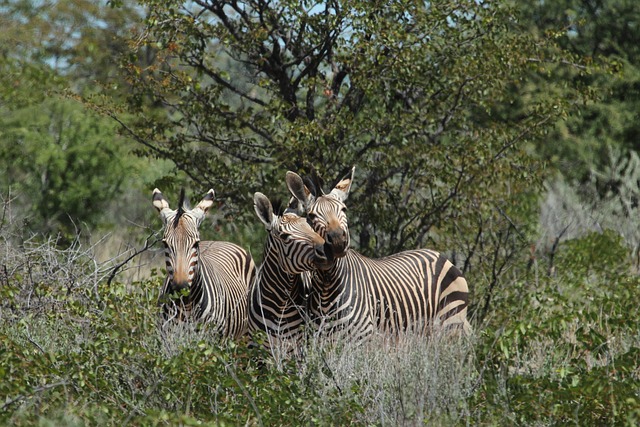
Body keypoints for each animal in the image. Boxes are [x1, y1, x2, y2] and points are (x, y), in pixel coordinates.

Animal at [285, 168, 472, 342]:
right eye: (311, 216)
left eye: (344, 209)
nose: (338, 240)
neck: (327, 284)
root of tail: (438, 254)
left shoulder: (362, 338)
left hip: (450, 322)